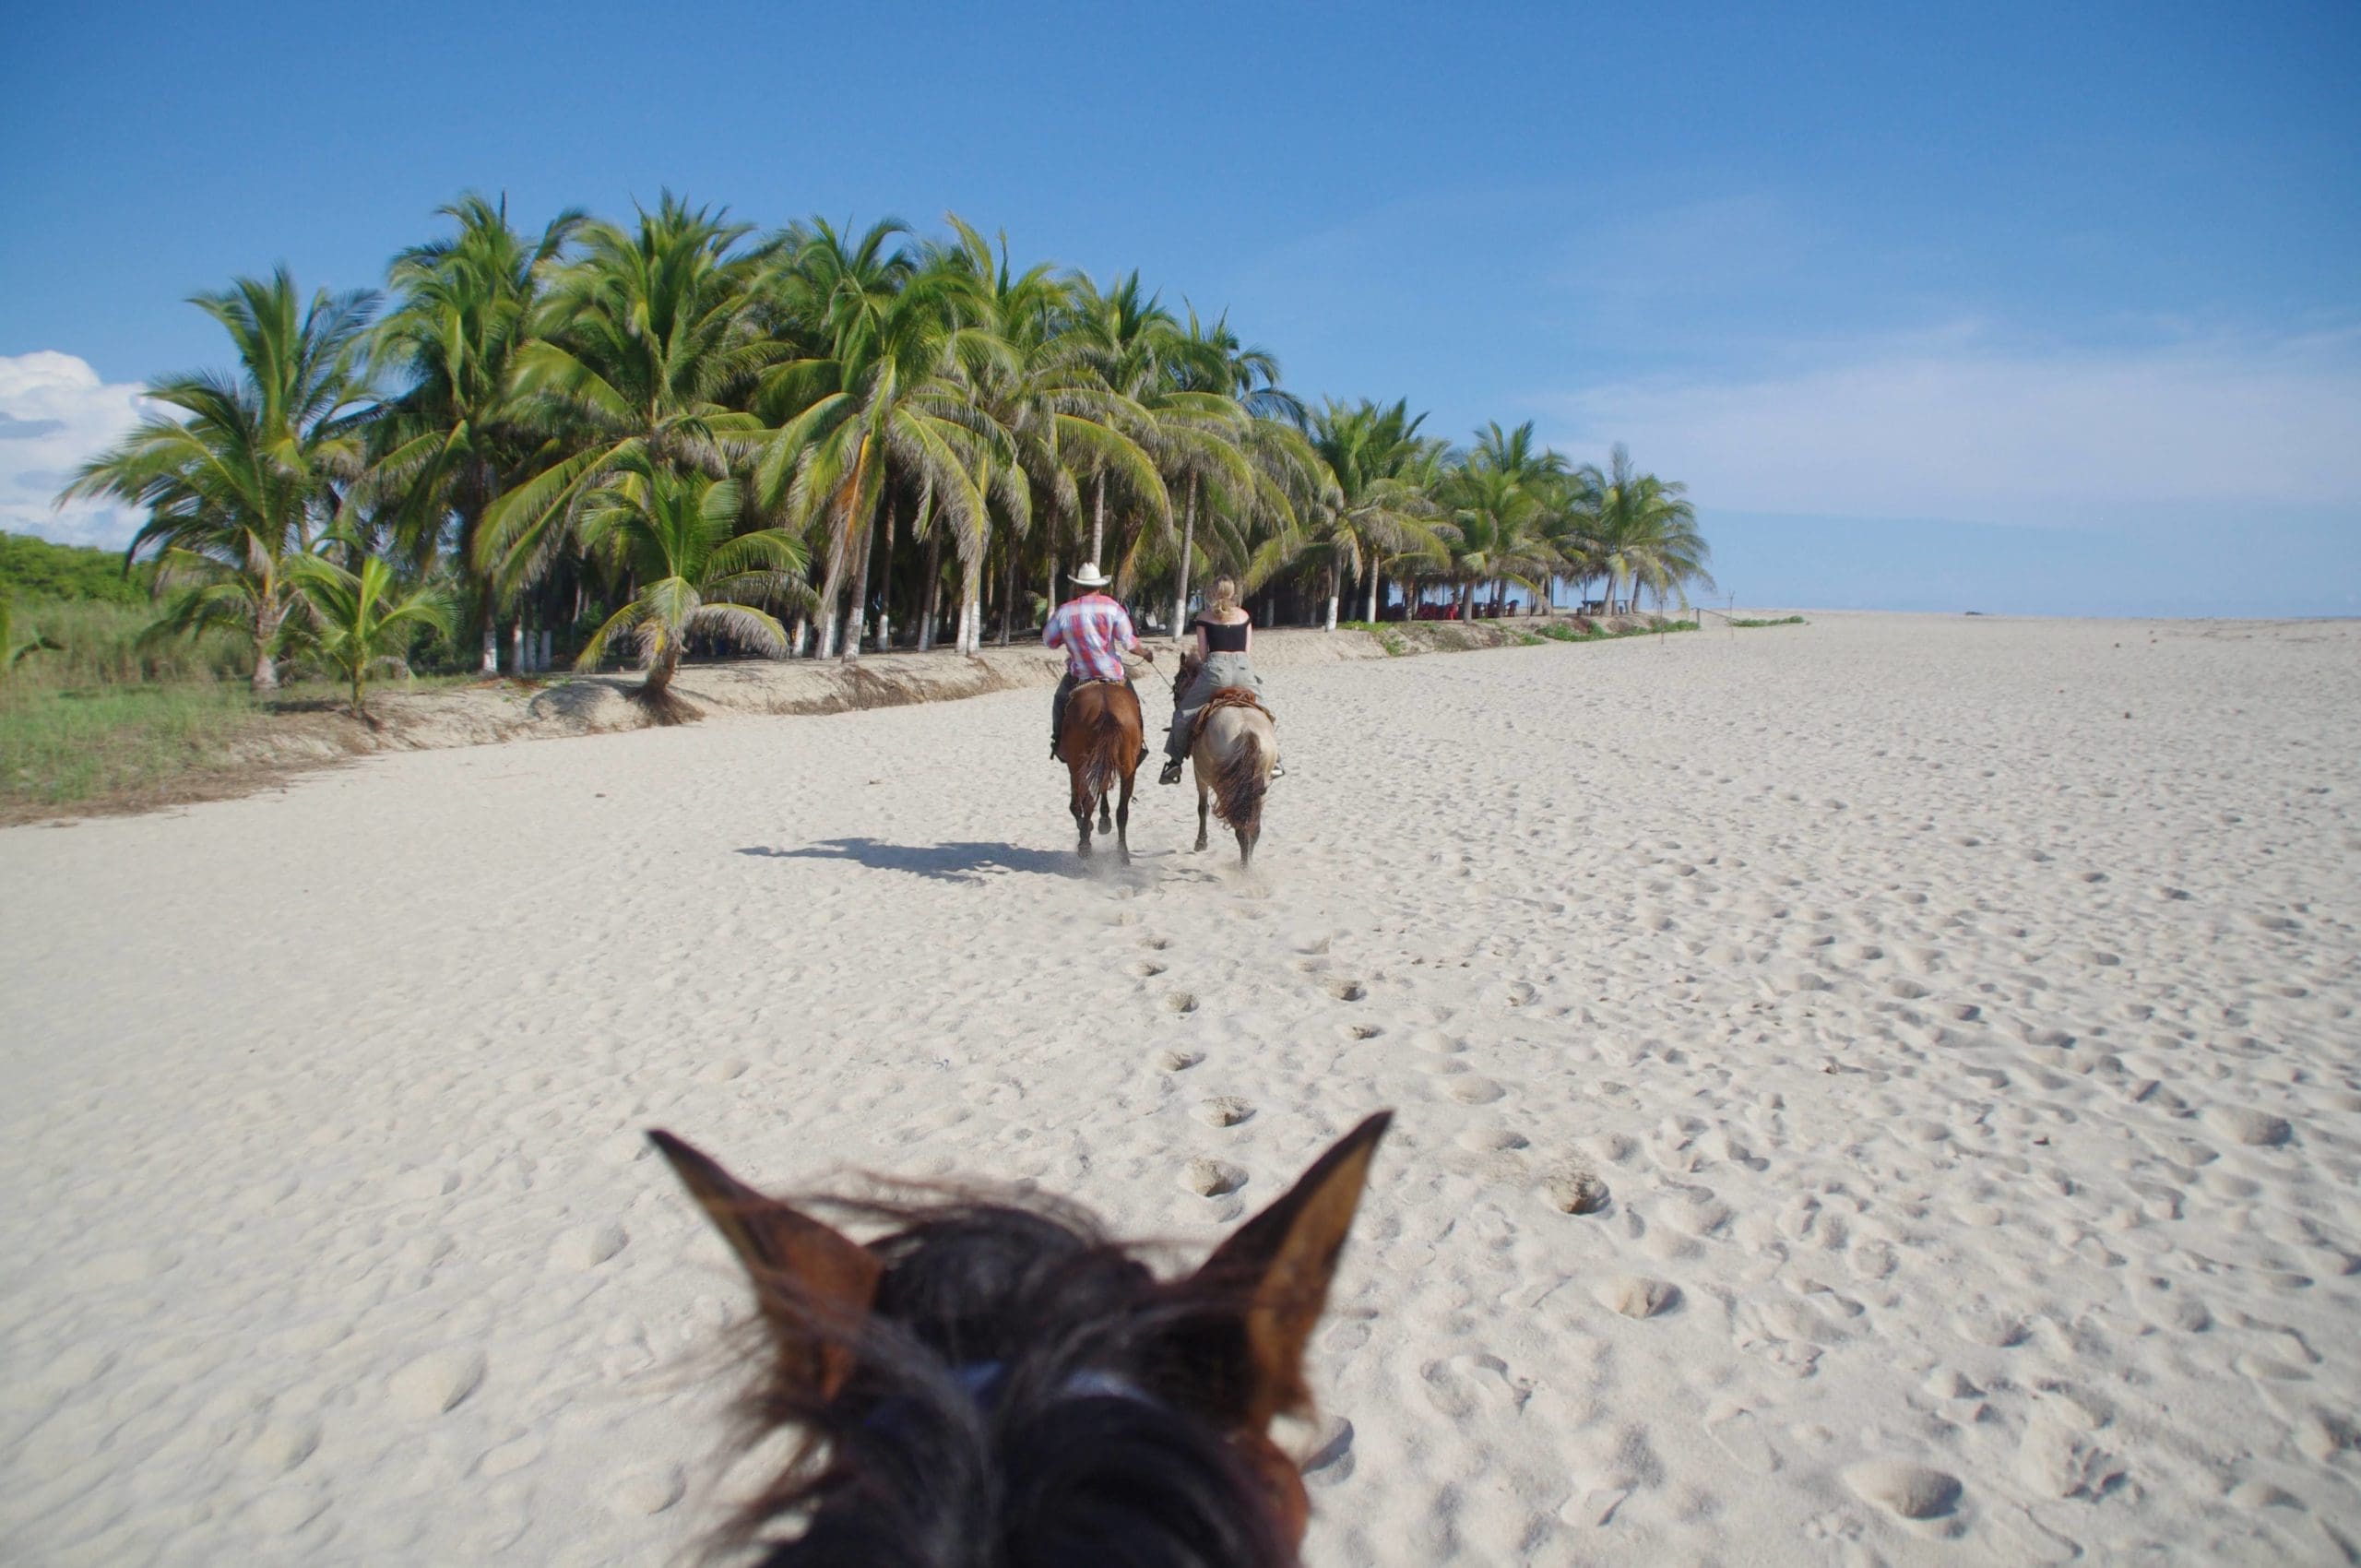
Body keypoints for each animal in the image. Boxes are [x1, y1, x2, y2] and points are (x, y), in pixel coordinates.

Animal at [1058, 679, 1142, 862]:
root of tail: (1106, 709)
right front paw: (1104, 819)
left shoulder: (1075, 766)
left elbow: (1078, 804)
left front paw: (1090, 825)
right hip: (1127, 766)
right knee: (1122, 811)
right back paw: (1122, 854)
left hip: (1078, 764)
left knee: (1085, 803)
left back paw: (1085, 845)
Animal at [1173, 651, 1277, 868]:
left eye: (1176, 681)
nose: (1176, 698)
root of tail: (1246, 729)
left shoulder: (1199, 774)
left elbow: (1201, 807)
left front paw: (1201, 842)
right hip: (1258, 782)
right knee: (1253, 825)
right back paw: (1248, 864)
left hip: (1224, 785)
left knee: (1240, 825)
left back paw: (1244, 867)